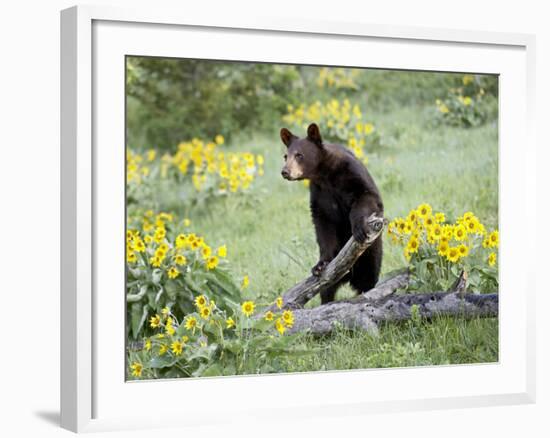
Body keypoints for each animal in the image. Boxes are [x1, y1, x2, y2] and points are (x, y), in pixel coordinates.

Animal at [280, 121, 384, 302]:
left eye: (299, 155)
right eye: (286, 156)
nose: (285, 172)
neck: (325, 174)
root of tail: (349, 277)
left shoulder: (351, 173)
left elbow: (366, 196)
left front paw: (358, 228)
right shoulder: (319, 193)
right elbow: (323, 224)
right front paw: (320, 265)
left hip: (371, 254)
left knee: (369, 278)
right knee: (327, 290)